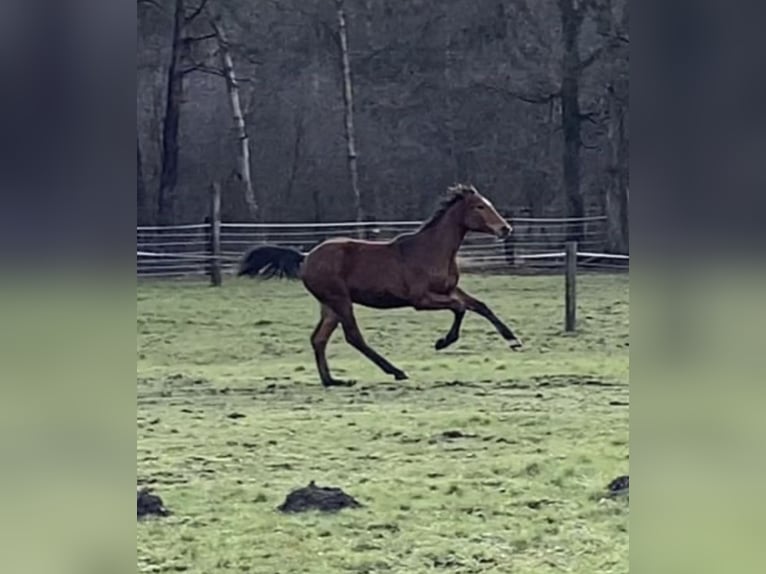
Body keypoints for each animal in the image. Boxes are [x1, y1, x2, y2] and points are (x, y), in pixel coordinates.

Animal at [240, 187, 524, 390]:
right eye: (479, 206)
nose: (505, 228)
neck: (432, 250)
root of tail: (305, 256)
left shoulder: (450, 289)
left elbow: (480, 306)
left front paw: (514, 340)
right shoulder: (421, 300)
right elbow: (460, 308)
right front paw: (442, 342)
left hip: (329, 305)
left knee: (319, 338)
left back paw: (333, 381)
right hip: (340, 299)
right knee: (353, 337)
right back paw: (396, 371)